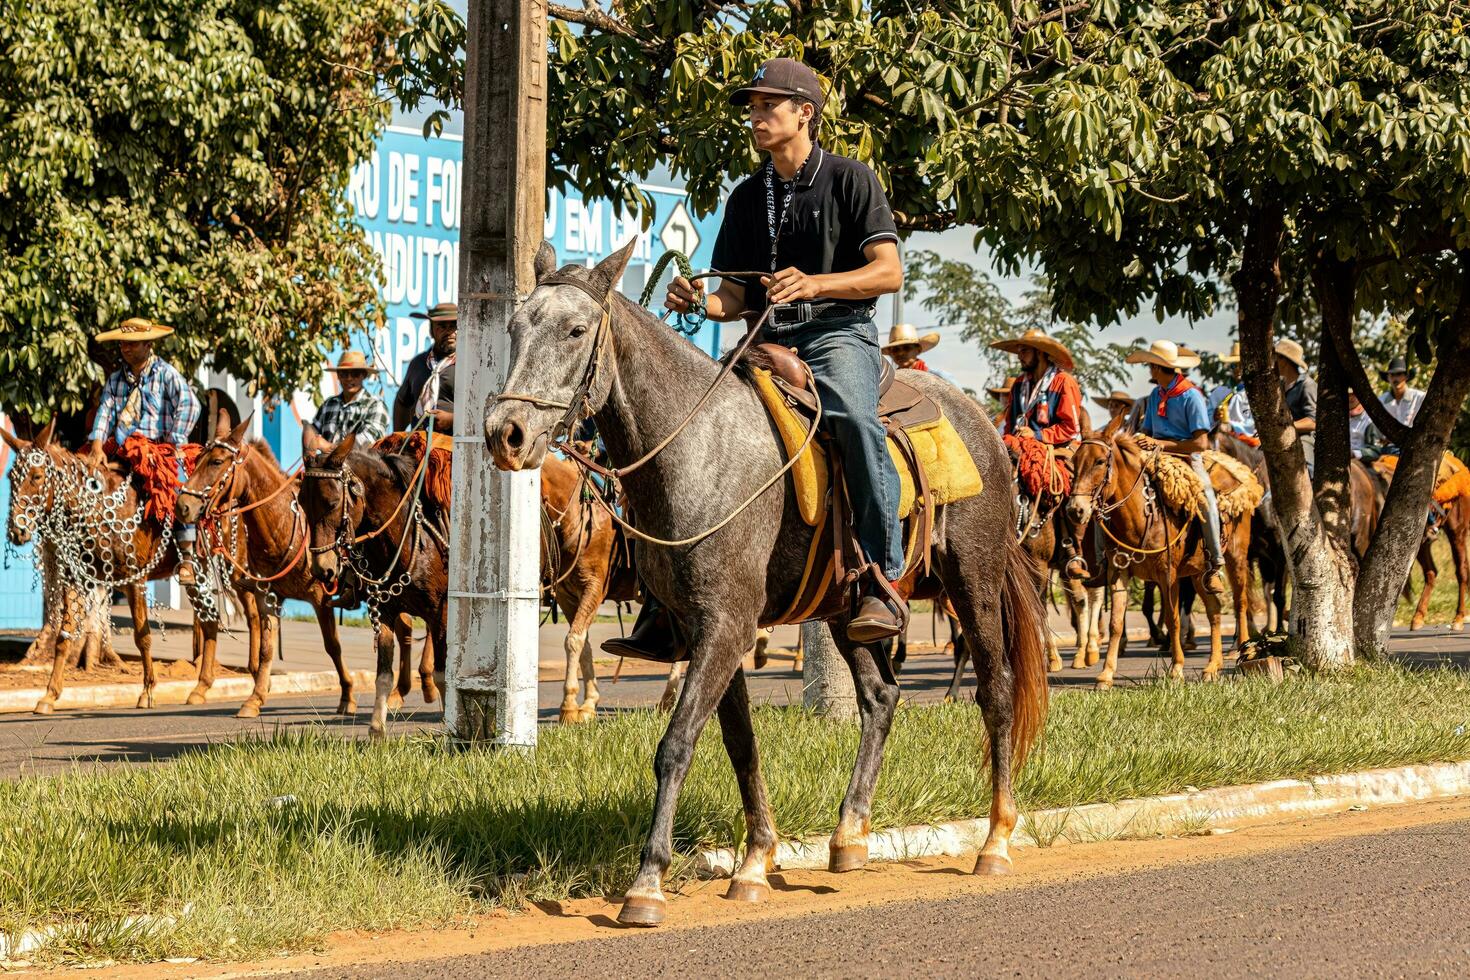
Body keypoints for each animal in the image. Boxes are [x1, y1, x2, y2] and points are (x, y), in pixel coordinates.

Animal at [302, 431, 446, 740]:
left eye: (332, 503)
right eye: (301, 502)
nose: (322, 569)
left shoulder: (441, 611)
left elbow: (443, 672)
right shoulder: (384, 612)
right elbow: (383, 675)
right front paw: (377, 729)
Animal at [482, 240, 1046, 934]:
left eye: (576, 330)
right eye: (514, 328)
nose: (505, 434)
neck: (696, 450)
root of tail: (984, 423)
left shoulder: (727, 624)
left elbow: (676, 745)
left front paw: (647, 884)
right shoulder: (706, 626)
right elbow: (739, 743)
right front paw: (755, 862)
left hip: (974, 580)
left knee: (996, 691)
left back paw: (995, 840)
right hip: (845, 609)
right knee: (881, 697)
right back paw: (849, 834)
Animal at [1064, 417, 1258, 687]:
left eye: (1100, 461)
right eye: (1073, 462)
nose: (1076, 509)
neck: (1142, 513)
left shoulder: (1168, 575)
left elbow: (1172, 619)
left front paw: (1176, 668)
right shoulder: (1118, 572)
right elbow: (1115, 623)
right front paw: (1106, 674)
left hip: (1236, 557)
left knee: (1240, 603)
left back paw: (1241, 652)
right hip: (1199, 573)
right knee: (1215, 609)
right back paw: (1212, 666)